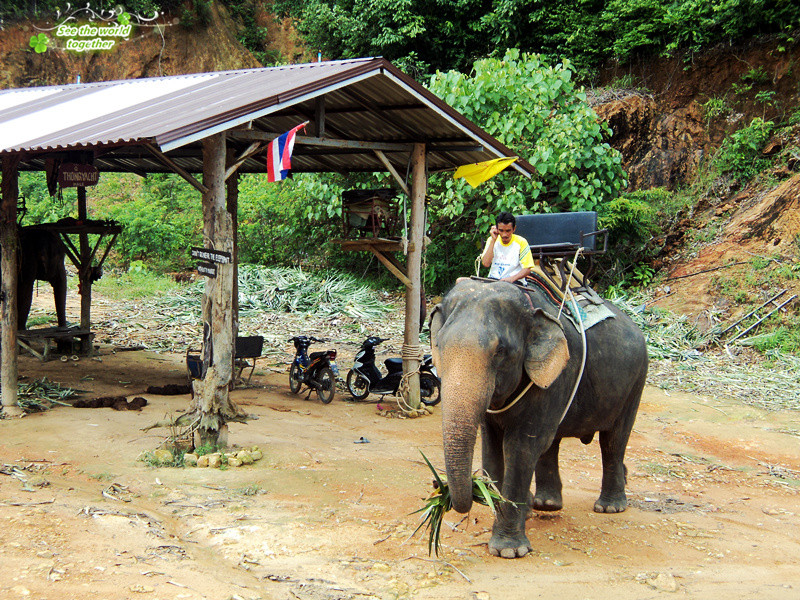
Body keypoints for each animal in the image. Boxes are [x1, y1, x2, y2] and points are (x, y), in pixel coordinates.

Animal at [428, 278, 648, 560]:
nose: (438, 484)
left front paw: (509, 550)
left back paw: (610, 507)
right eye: (440, 346)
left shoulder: (555, 374)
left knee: (613, 441)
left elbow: (520, 448)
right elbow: (492, 449)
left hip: (636, 382)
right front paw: (515, 510)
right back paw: (546, 504)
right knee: (552, 443)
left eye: (500, 351)